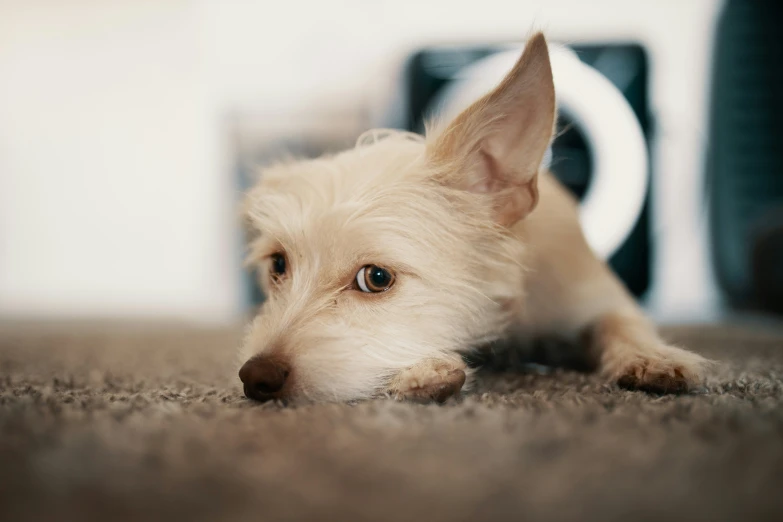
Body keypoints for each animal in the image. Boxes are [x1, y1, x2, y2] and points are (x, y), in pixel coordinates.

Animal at [239, 33, 712, 402]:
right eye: (278, 265)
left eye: (375, 279)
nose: (255, 377)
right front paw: (423, 372)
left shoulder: (593, 295)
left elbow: (622, 322)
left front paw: (653, 356)